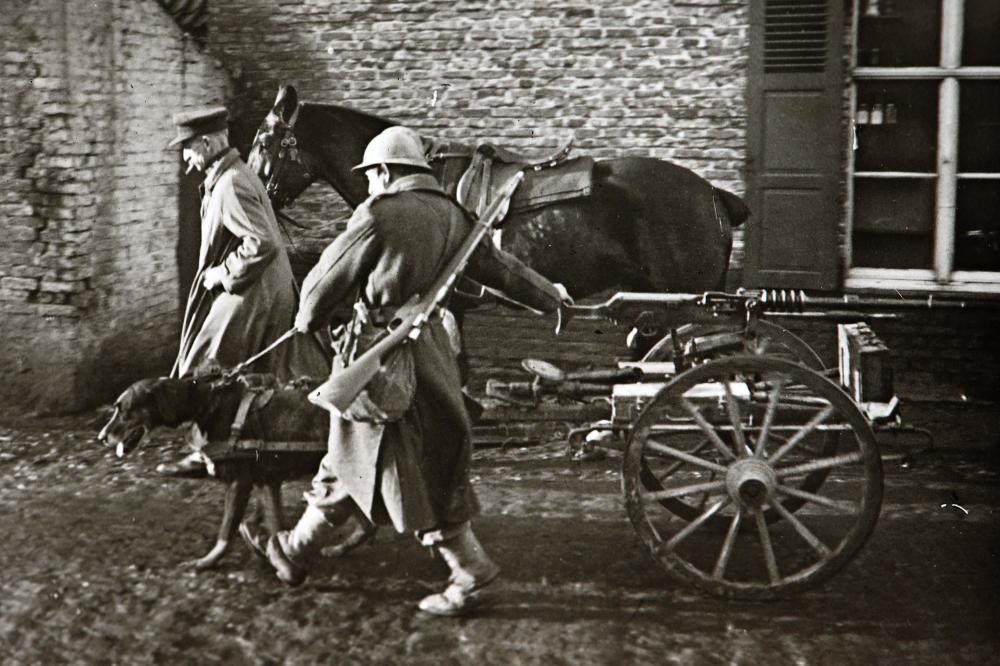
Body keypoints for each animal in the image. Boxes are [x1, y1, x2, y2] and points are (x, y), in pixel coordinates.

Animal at [98, 370, 376, 568]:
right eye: (116, 408)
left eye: (125, 410)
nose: (101, 437)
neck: (207, 405)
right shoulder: (267, 481)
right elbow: (273, 522)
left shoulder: (240, 482)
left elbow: (227, 531)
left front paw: (208, 561)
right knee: (366, 524)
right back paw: (339, 548)